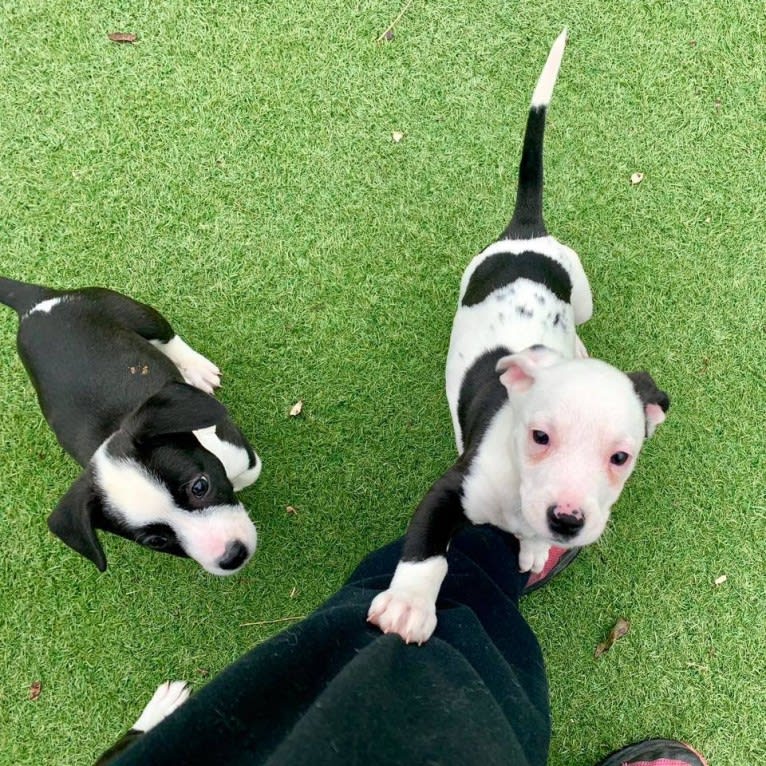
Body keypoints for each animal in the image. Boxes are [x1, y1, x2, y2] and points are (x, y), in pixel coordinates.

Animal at [0, 280, 262, 572]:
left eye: (200, 487)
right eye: (156, 541)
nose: (233, 556)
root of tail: (35, 303)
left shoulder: (241, 453)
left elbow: (247, 475)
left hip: (131, 311)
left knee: (167, 337)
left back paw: (196, 369)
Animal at [368, 28, 668, 640]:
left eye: (620, 457)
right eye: (540, 437)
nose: (567, 520)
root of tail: (526, 233)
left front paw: (531, 546)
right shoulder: (451, 489)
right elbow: (427, 553)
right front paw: (409, 604)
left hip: (581, 293)